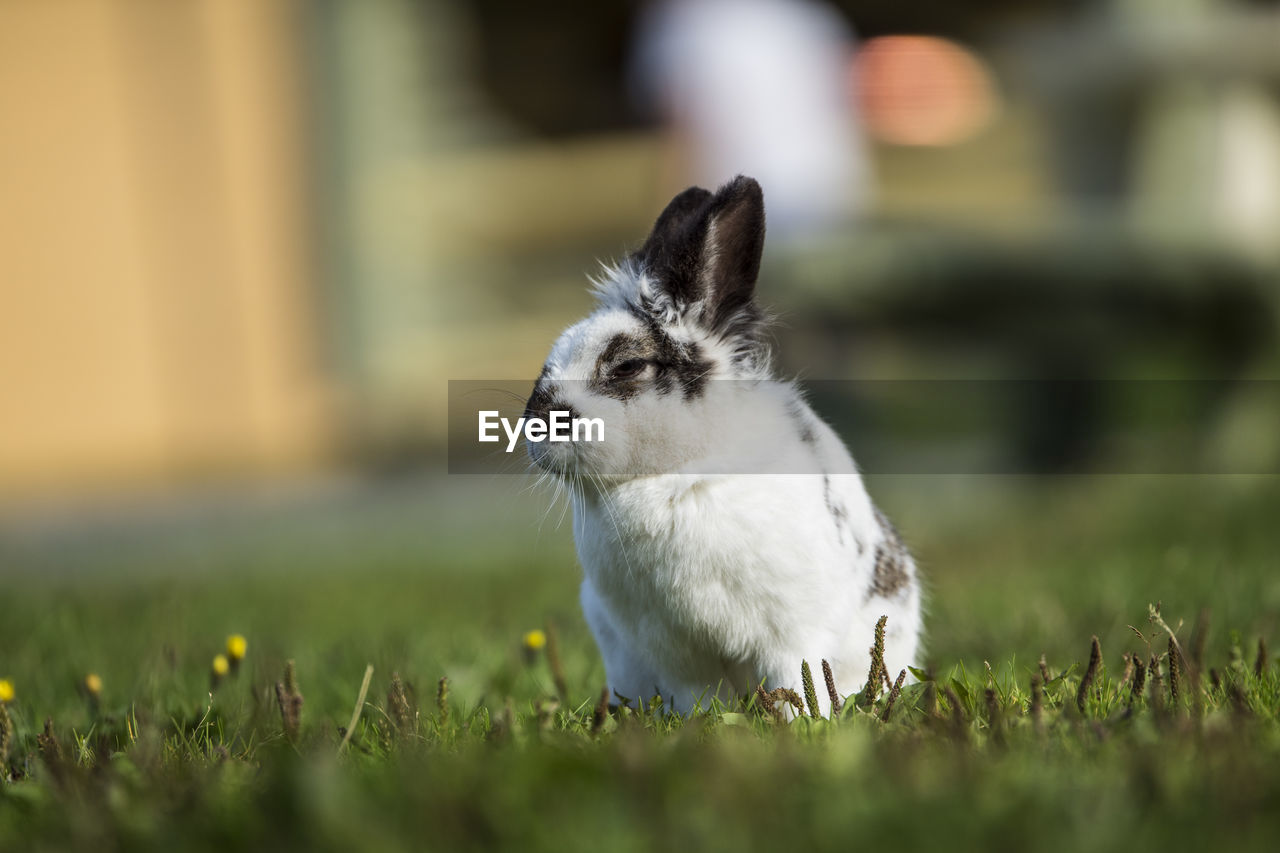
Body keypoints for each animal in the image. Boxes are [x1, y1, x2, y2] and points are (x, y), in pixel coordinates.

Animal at [524, 172, 926, 712]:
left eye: (627, 366)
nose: (536, 426)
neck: (677, 473)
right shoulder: (672, 649)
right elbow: (695, 694)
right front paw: (701, 722)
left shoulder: (791, 632)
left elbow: (797, 675)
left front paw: (801, 718)